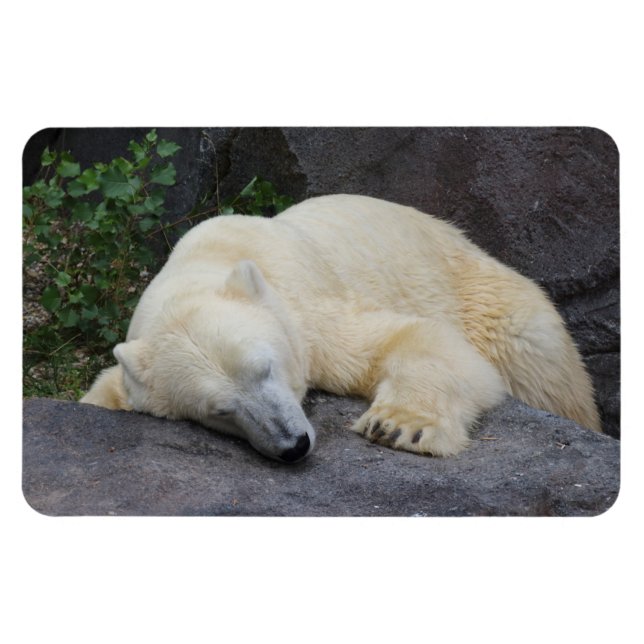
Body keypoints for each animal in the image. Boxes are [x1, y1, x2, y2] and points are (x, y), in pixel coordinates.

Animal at [81, 194, 601, 462]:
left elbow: (415, 339)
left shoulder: (308, 312)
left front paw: (397, 426)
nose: (293, 446)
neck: (210, 259)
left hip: (493, 299)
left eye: (265, 368)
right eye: (219, 410)